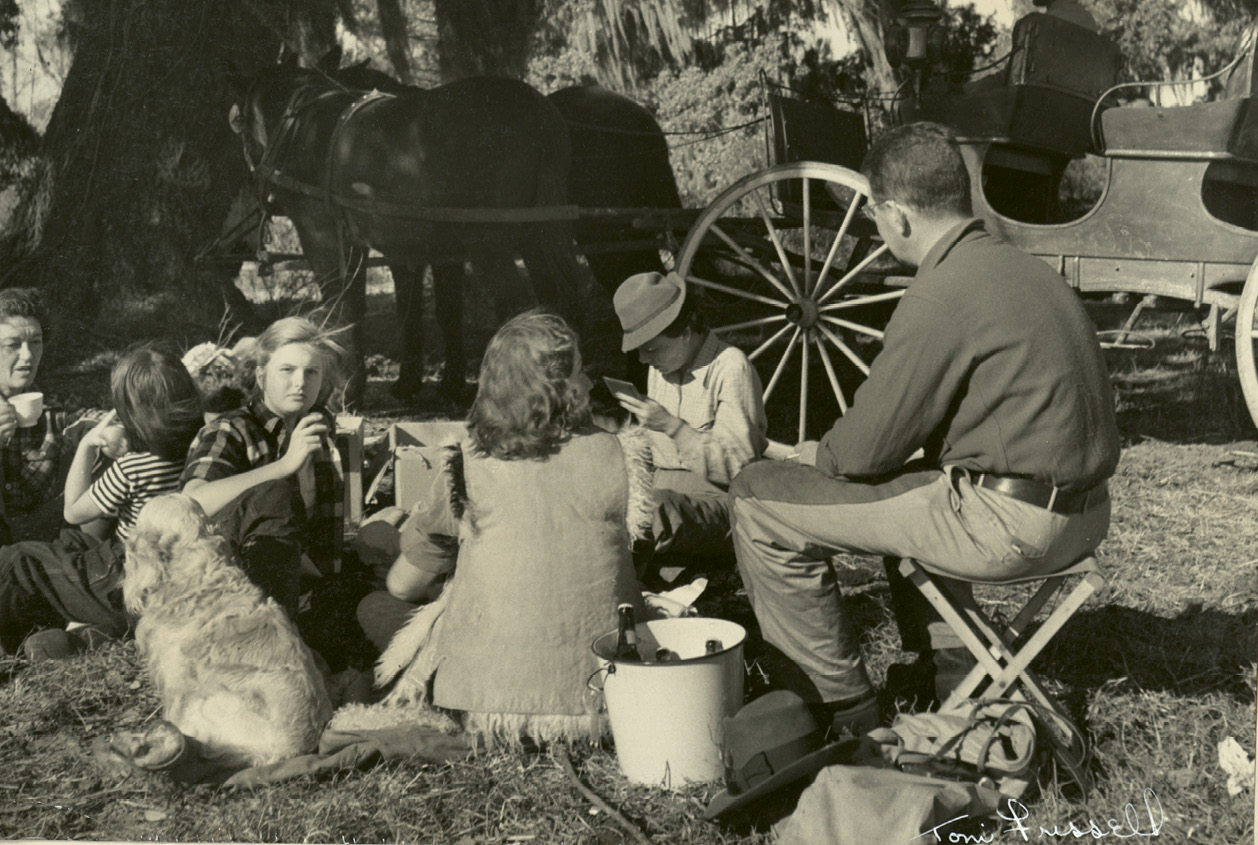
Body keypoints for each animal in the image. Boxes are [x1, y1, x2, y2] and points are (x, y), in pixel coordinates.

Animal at [232, 55, 583, 399]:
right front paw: (375, 382)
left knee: (517, 306)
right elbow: (383, 308)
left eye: (243, 128)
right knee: (556, 300)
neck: (301, 127)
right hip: (536, 237)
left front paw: (345, 388)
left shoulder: (322, 238)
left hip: (488, 246)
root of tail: (535, 112)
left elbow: (339, 306)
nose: (255, 187)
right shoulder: (388, 246)